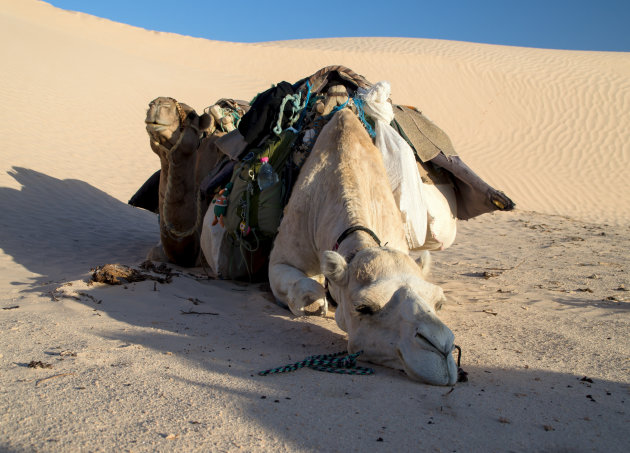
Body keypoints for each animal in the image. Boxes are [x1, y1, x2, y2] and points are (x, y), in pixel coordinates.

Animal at [270, 108, 456, 382]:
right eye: (364, 307)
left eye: (438, 303)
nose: (442, 350)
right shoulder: (283, 257)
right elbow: (308, 289)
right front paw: (315, 304)